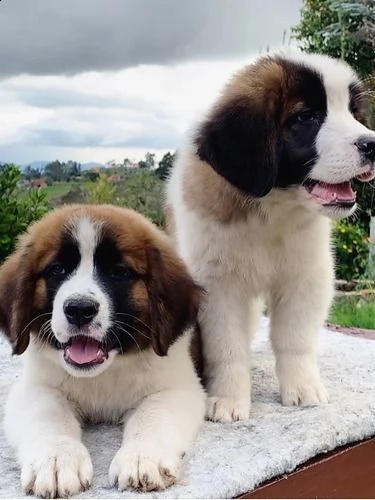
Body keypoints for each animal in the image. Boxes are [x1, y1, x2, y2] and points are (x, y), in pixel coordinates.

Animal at [0, 203, 206, 496]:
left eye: (118, 272)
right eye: (57, 269)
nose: (79, 309)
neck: (103, 374)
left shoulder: (176, 388)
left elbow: (152, 415)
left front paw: (142, 456)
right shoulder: (36, 387)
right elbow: (49, 416)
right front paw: (56, 459)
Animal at [167, 53, 375, 422]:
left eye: (352, 112)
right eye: (306, 117)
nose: (372, 144)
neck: (273, 207)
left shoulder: (305, 277)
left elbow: (295, 339)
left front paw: (303, 388)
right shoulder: (219, 286)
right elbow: (227, 347)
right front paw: (229, 398)